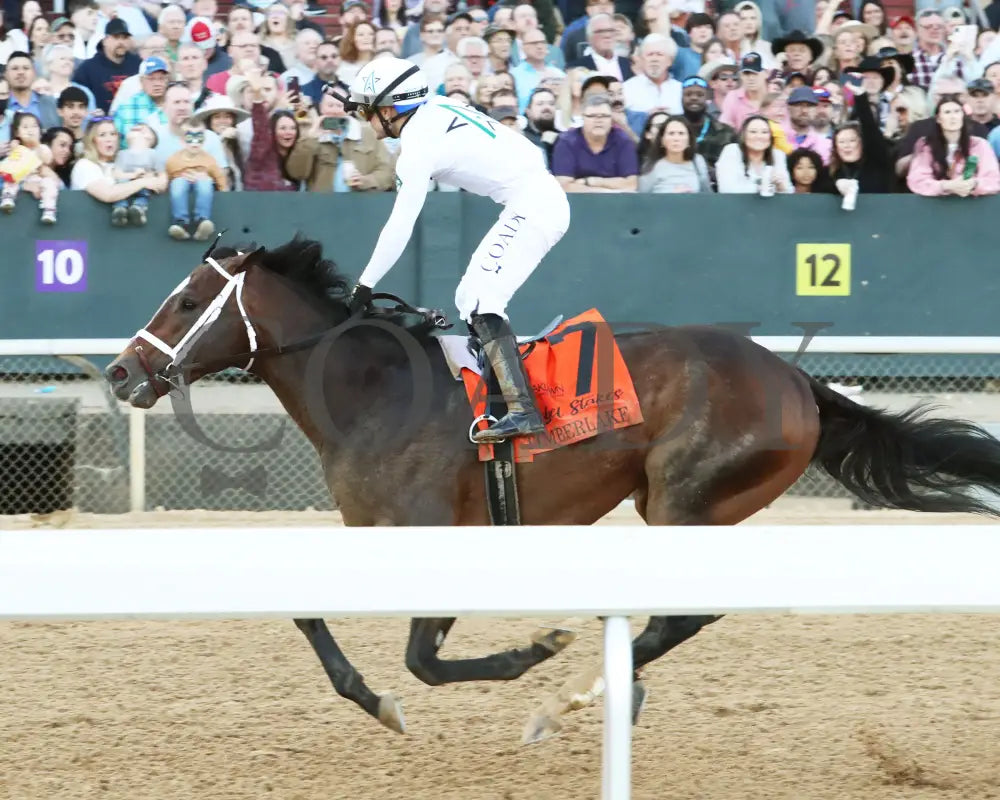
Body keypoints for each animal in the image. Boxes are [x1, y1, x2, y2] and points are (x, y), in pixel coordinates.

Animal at [103, 236, 1000, 736]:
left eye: (187, 300)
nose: (118, 372)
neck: (376, 394)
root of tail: (795, 379)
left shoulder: (440, 539)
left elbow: (426, 660)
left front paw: (539, 650)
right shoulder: (372, 538)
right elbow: (309, 614)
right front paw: (374, 700)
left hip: (684, 500)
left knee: (684, 612)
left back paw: (577, 697)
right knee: (681, 616)